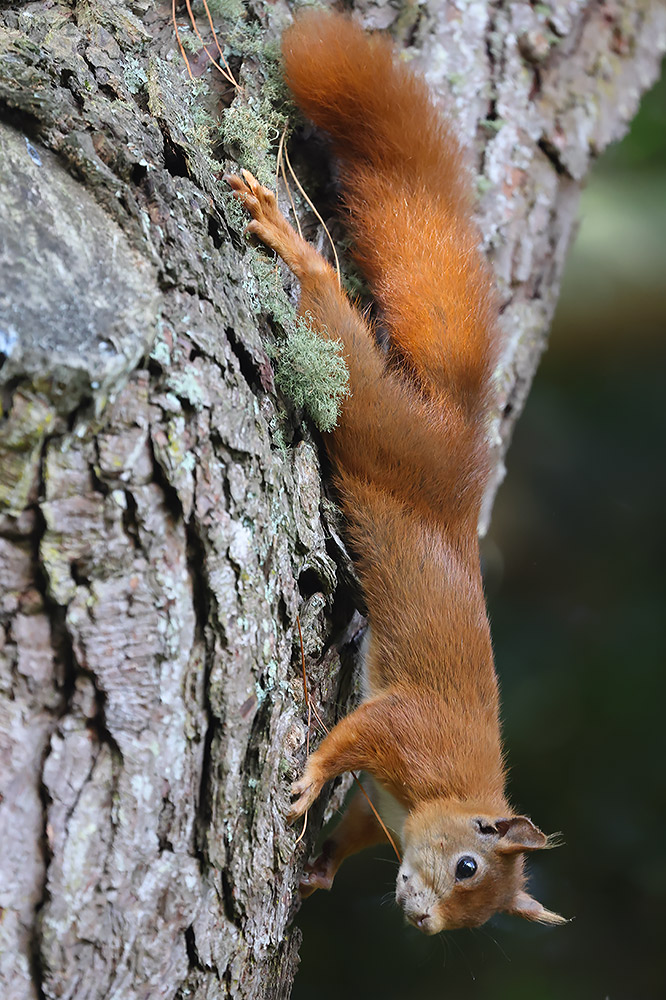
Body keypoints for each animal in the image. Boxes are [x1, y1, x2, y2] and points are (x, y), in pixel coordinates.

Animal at [226, 9, 566, 933]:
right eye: (466, 865)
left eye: (480, 919)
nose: (422, 922)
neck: (447, 792)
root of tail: (456, 460)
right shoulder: (406, 729)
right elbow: (352, 736)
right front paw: (309, 778)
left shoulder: (386, 807)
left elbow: (355, 833)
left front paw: (321, 870)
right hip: (380, 421)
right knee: (334, 323)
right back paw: (287, 240)